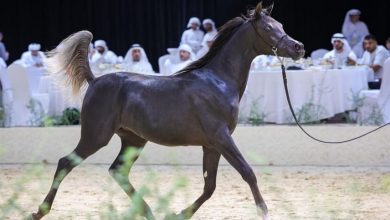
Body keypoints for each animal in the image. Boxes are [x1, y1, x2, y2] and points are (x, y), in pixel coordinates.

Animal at [30, 2, 304, 220]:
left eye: (280, 24)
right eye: (268, 28)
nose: (298, 47)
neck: (218, 81)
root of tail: (95, 80)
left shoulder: (212, 145)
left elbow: (210, 186)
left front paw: (179, 214)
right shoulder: (221, 137)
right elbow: (247, 173)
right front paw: (264, 212)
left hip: (133, 140)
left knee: (118, 171)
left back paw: (150, 213)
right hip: (96, 136)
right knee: (66, 163)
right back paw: (39, 212)